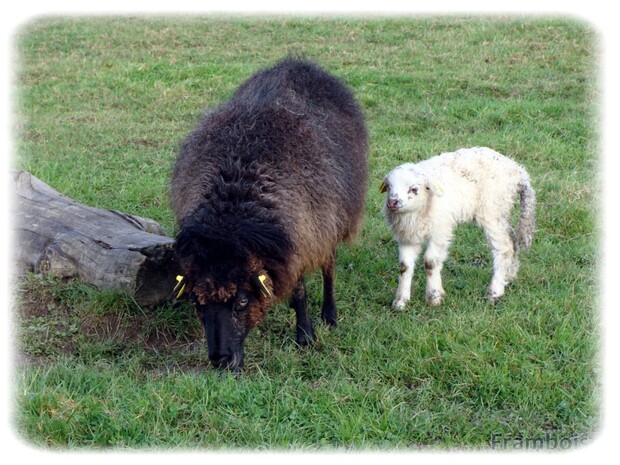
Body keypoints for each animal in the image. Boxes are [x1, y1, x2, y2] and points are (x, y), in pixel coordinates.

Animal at [380, 149, 536, 308]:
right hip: (500, 213)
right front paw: (400, 302)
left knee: (505, 248)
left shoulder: (440, 232)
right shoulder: (407, 237)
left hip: (492, 211)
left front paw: (434, 297)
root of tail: (518, 171)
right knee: (513, 240)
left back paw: (494, 292)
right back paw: (509, 276)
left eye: (413, 189)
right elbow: (404, 266)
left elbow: (430, 262)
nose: (392, 202)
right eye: (389, 187)